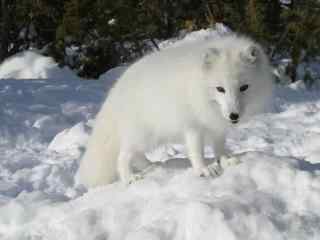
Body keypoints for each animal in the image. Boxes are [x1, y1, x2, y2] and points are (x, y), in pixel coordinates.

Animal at [77, 34, 272, 188]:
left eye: (244, 87)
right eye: (220, 89)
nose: (233, 116)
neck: (197, 86)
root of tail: (116, 89)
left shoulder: (216, 126)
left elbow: (219, 147)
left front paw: (225, 160)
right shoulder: (193, 126)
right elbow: (196, 151)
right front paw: (203, 169)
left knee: (136, 155)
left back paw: (152, 166)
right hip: (142, 135)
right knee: (122, 156)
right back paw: (130, 178)